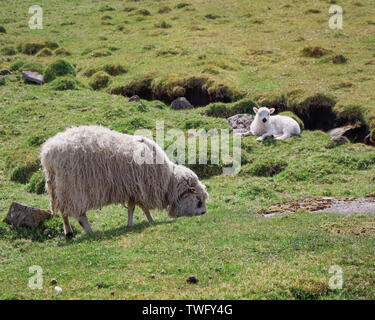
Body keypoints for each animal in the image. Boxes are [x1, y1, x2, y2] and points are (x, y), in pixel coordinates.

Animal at [41, 125, 209, 238]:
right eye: (198, 200)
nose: (204, 213)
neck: (168, 180)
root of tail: (48, 152)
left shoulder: (133, 188)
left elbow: (135, 208)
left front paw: (144, 220)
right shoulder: (142, 187)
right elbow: (138, 207)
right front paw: (143, 221)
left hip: (59, 188)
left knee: (63, 212)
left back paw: (68, 232)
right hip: (75, 188)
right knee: (80, 214)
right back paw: (89, 231)